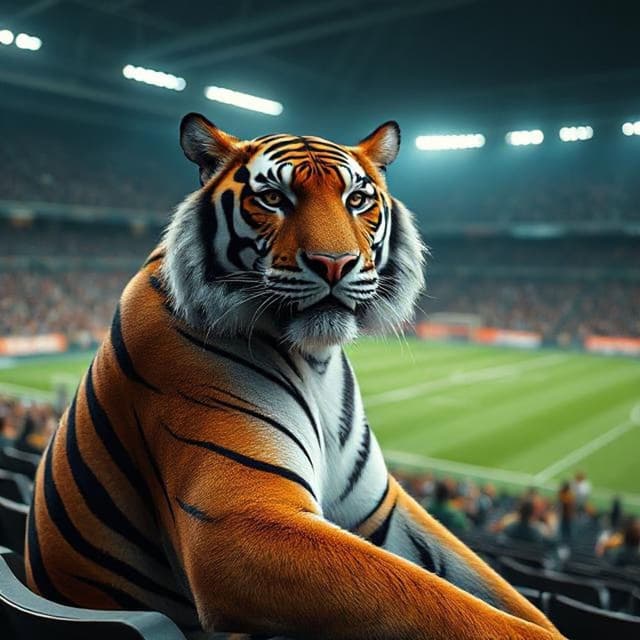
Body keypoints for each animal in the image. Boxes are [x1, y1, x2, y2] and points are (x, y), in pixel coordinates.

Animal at [25, 113, 562, 640]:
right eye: (273, 198)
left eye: (357, 200)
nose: (334, 264)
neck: (317, 360)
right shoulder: (237, 519)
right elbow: (446, 605)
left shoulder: (382, 510)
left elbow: (493, 592)